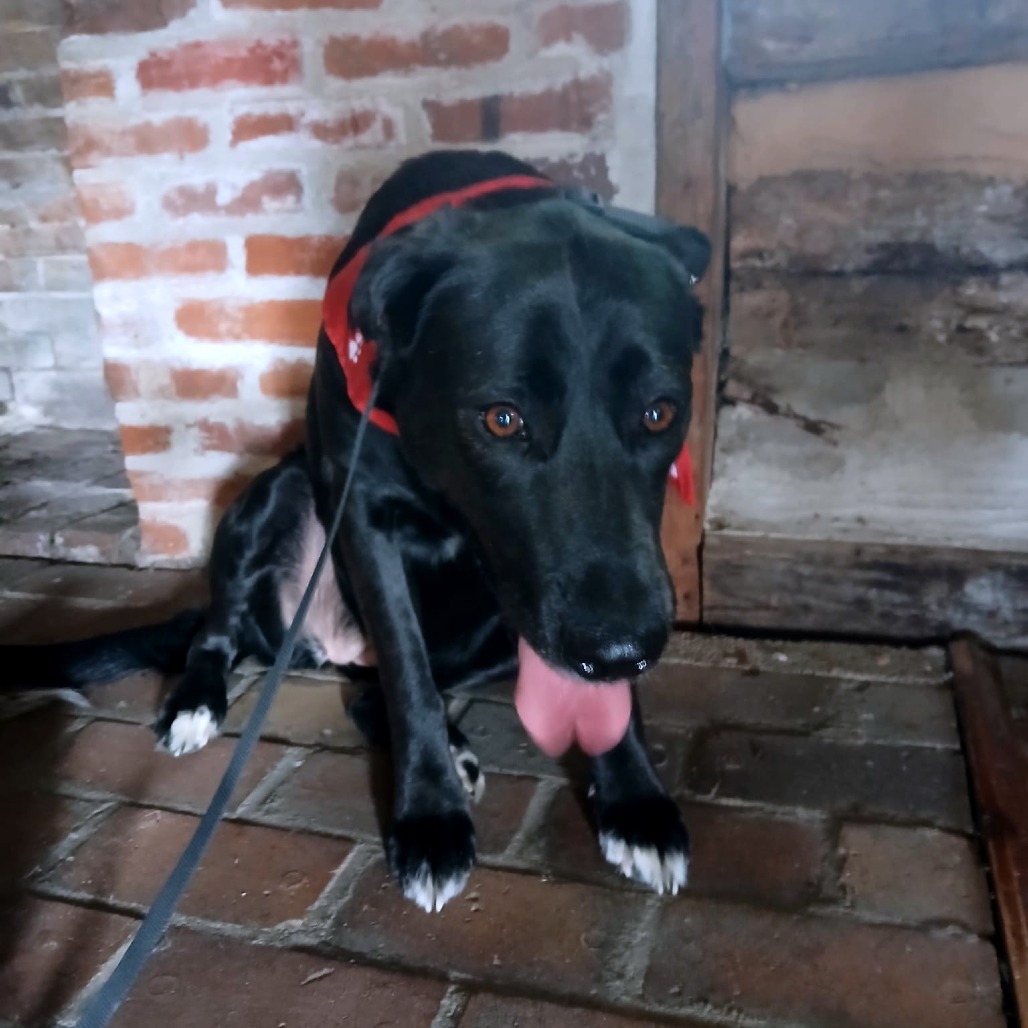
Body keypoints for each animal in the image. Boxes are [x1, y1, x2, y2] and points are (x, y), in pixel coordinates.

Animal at [6, 150, 707, 908]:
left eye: (661, 413)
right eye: (502, 419)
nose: (621, 652)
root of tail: (321, 647)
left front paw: (635, 802)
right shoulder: (363, 514)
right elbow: (406, 673)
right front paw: (430, 818)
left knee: (375, 691)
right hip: (274, 494)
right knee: (224, 634)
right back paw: (199, 701)